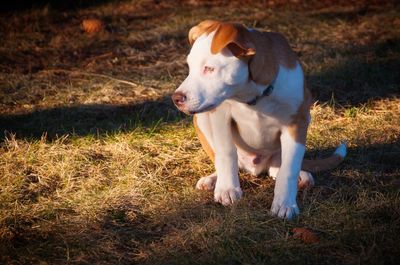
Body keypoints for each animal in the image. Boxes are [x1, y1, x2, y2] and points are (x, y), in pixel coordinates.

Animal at [170, 20, 346, 219]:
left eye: (209, 69)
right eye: (190, 67)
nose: (176, 98)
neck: (252, 96)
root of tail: (255, 168)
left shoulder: (297, 123)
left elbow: (289, 169)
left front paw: (285, 204)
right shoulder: (220, 115)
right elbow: (226, 152)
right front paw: (228, 189)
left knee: (279, 167)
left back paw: (301, 176)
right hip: (201, 118)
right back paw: (213, 179)